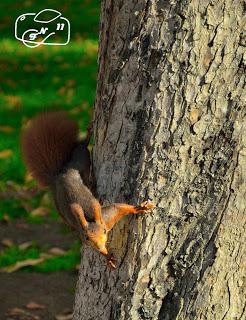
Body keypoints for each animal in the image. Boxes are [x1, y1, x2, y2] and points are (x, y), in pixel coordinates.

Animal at [21, 111, 156, 268]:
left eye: (104, 231)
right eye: (86, 238)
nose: (98, 246)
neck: (92, 219)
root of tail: (59, 175)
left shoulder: (108, 217)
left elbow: (121, 207)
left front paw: (141, 208)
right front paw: (107, 257)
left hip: (81, 160)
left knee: (81, 148)